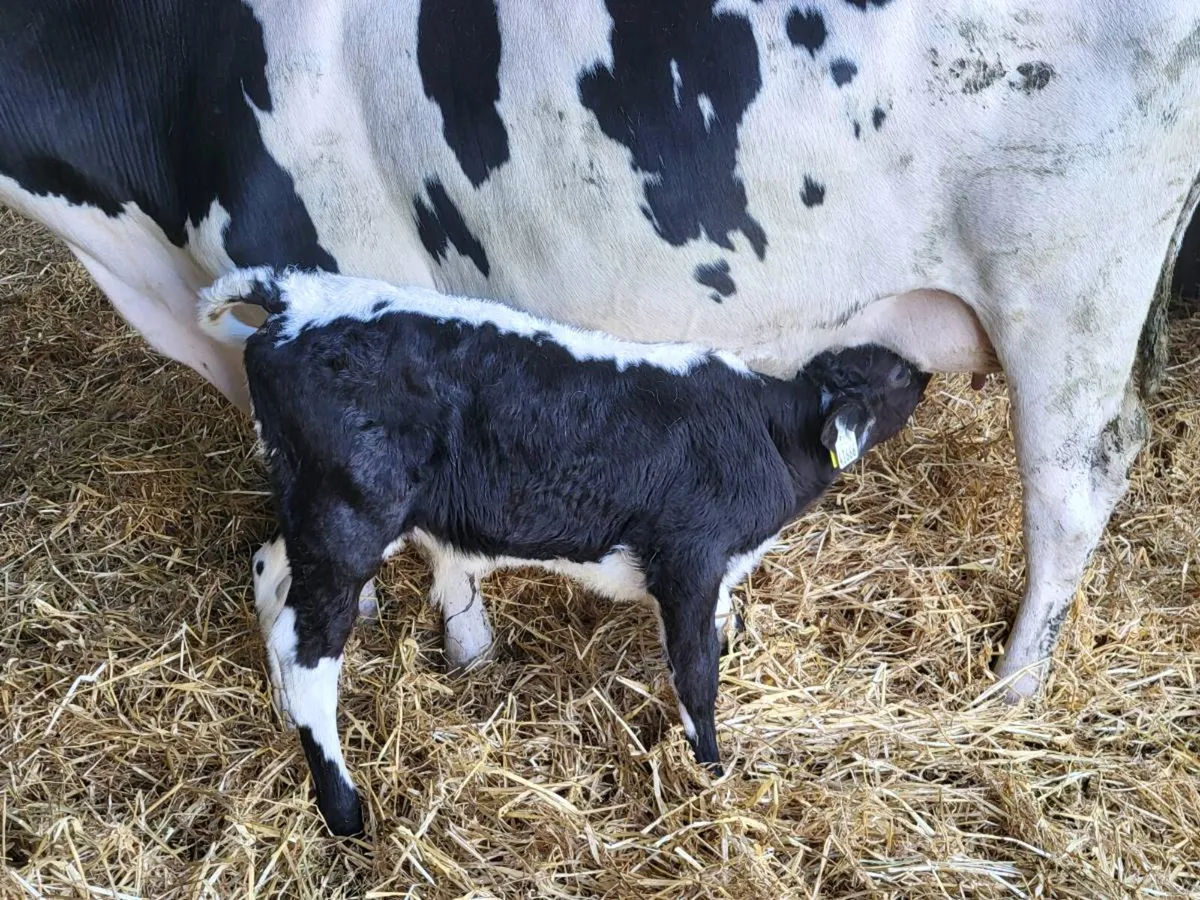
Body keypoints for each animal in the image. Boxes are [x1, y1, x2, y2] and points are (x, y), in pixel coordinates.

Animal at [200, 265, 931, 835]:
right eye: (895, 374)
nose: (925, 369)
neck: (767, 431)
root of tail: (293, 295)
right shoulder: (688, 559)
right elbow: (697, 674)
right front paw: (712, 773)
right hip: (347, 516)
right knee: (310, 656)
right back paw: (345, 811)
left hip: (307, 503)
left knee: (270, 579)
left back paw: (281, 710)